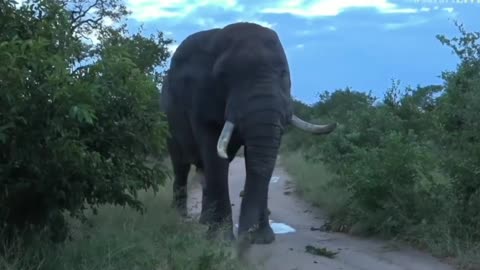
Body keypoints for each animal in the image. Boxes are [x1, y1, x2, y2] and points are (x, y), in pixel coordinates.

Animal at [161, 21, 338, 245]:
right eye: (223, 77)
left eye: (284, 74)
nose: (246, 236)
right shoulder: (199, 99)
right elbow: (214, 154)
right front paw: (221, 240)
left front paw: (262, 239)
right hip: (168, 120)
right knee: (181, 166)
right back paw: (180, 218)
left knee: (203, 170)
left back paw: (204, 221)